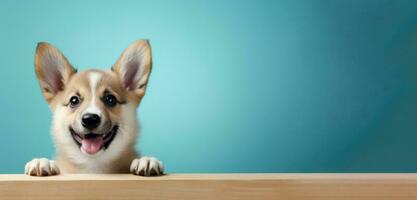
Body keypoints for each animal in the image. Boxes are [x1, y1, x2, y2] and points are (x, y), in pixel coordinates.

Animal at [24, 39, 164, 176]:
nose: (90, 119)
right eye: (74, 100)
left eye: (110, 99)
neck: (93, 166)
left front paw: (146, 160)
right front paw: (42, 162)